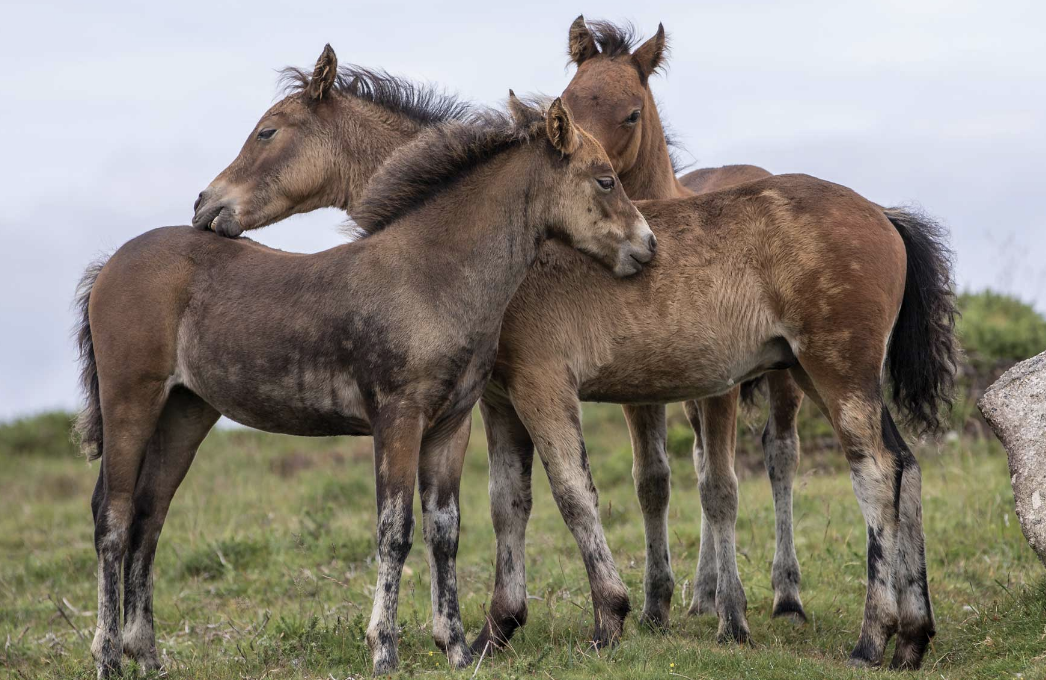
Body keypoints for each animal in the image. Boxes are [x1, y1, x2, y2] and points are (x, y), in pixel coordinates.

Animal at [73, 50, 656, 676]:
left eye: (267, 131)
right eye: (604, 179)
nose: (646, 245)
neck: (429, 272)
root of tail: (110, 264)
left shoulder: (451, 424)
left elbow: (444, 530)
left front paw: (455, 647)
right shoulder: (397, 418)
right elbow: (394, 530)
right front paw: (384, 649)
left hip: (185, 410)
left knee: (149, 516)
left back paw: (147, 656)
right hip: (131, 399)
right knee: (113, 517)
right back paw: (107, 657)